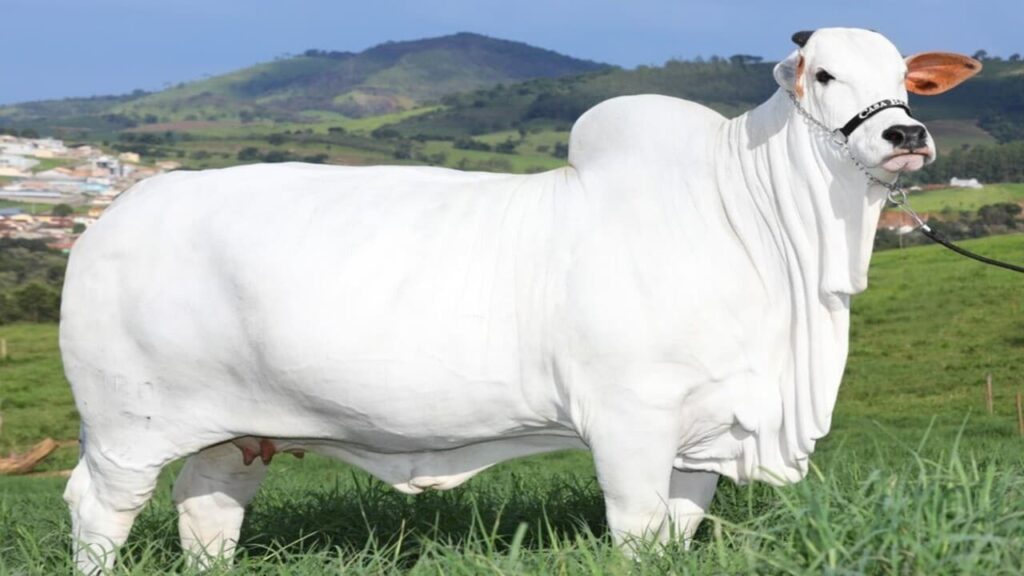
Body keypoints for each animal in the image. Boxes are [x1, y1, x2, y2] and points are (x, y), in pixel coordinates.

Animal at [61, 28, 980, 571]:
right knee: (99, 510)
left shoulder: (704, 435)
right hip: (126, 428)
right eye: (823, 73)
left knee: (207, 508)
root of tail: (113, 219)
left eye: (907, 80)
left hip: (236, 430)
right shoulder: (629, 422)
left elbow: (675, 535)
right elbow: (638, 533)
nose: (905, 134)